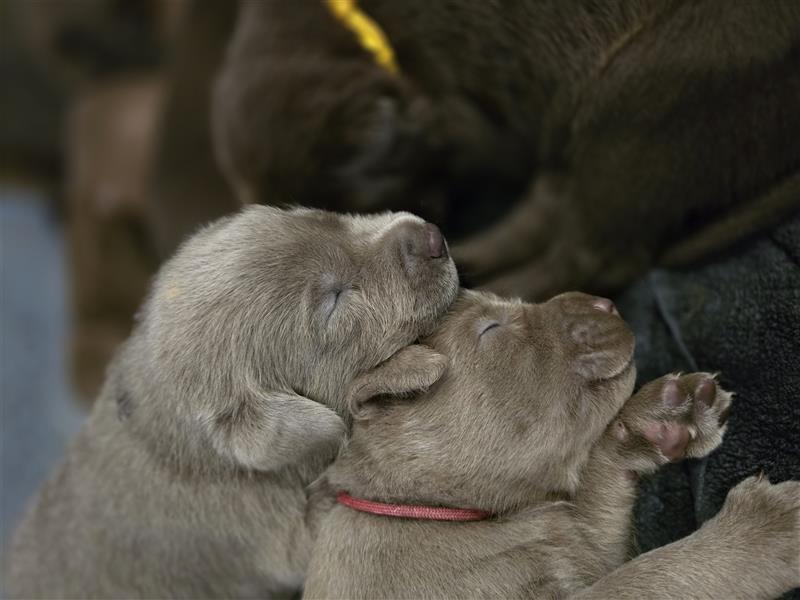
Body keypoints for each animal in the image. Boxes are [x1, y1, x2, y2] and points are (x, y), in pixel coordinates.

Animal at [304, 290, 800, 600]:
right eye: (491, 329)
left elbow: (598, 484)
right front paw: (764, 528)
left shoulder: (585, 544)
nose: (605, 302)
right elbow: (652, 575)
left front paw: (667, 417)